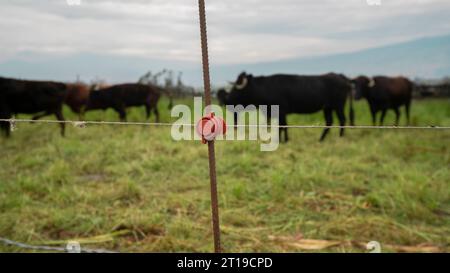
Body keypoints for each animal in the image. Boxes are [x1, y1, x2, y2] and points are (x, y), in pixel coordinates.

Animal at [223, 71, 354, 141]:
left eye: (236, 89)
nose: (227, 100)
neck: (265, 87)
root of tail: (340, 76)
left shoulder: (281, 111)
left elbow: (282, 126)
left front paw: (282, 141)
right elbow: (282, 126)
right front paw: (285, 140)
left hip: (338, 105)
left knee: (342, 119)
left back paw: (340, 137)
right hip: (327, 108)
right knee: (329, 122)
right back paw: (321, 139)